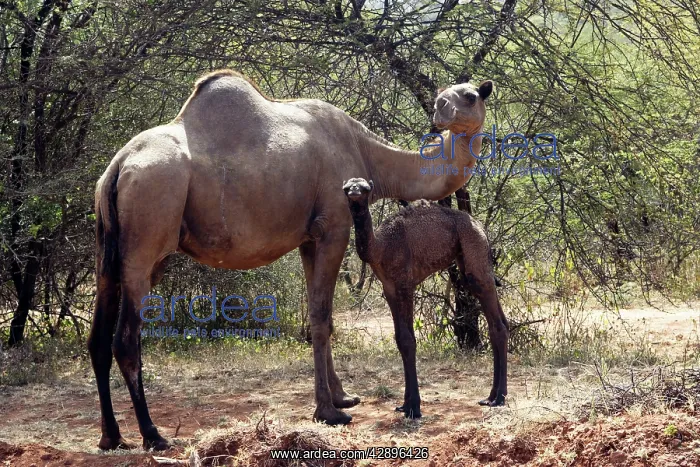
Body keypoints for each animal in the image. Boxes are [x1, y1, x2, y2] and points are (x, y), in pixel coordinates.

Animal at [342, 178, 508, 418]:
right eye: (347, 188)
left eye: (364, 188)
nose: (354, 192)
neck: (380, 247)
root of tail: (481, 229)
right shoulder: (389, 289)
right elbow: (400, 339)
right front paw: (404, 404)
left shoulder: (404, 285)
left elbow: (408, 340)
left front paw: (414, 408)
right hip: (470, 260)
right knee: (500, 321)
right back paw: (490, 396)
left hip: (475, 255)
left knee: (497, 323)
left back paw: (500, 398)